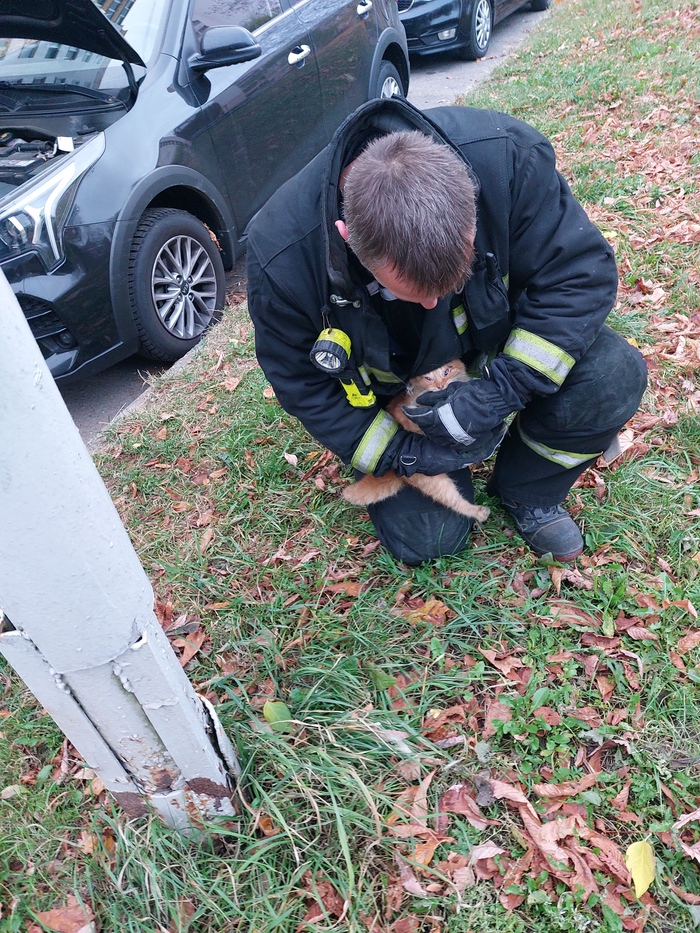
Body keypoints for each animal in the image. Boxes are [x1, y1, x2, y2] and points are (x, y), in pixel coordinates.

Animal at [342, 359, 490, 522]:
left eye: (446, 372)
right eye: (428, 378)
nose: (441, 386)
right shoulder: (407, 411)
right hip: (432, 480)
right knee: (452, 500)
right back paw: (479, 512)